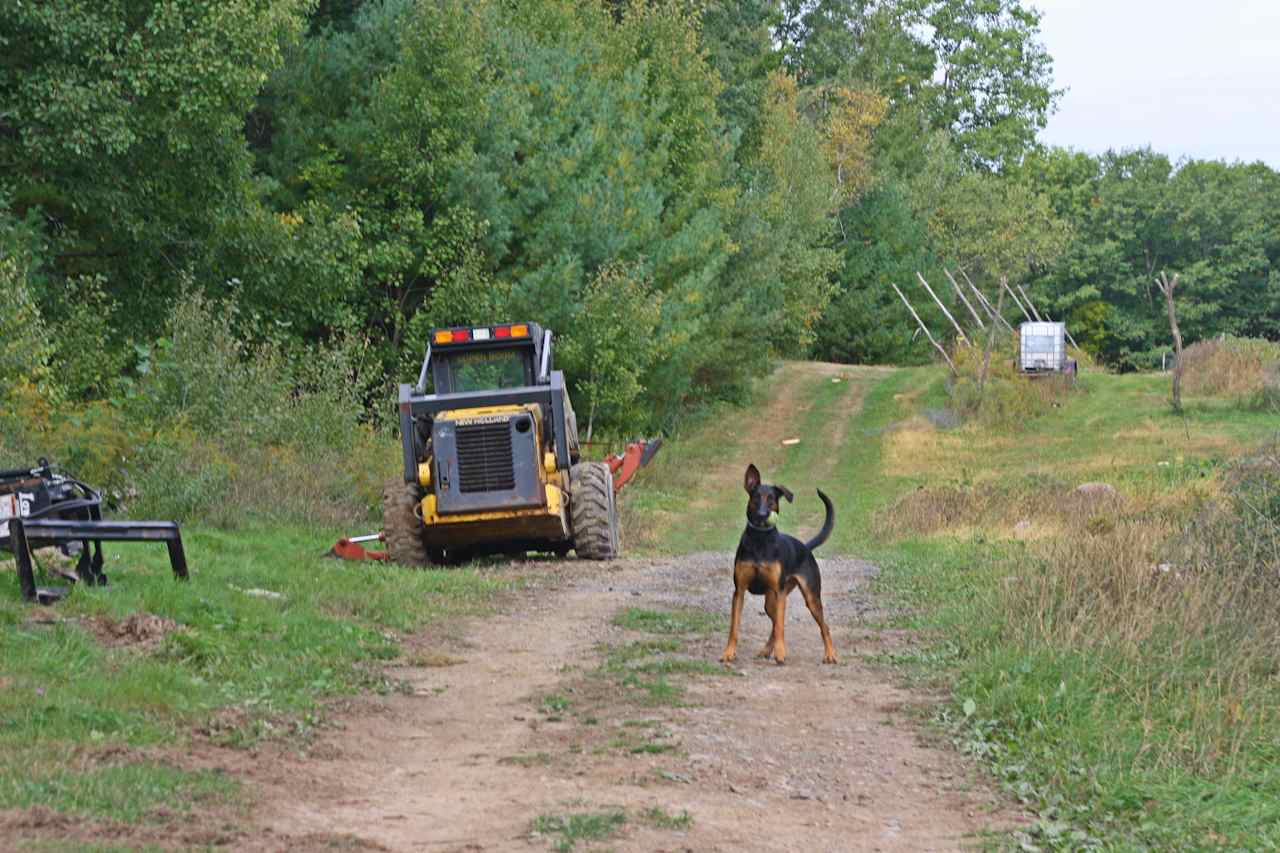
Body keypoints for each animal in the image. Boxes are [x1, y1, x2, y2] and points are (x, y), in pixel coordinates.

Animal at [721, 458, 839, 666]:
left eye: (771, 499)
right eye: (756, 497)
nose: (762, 515)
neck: (760, 539)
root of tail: (805, 547)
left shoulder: (779, 591)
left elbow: (781, 627)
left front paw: (781, 653)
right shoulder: (739, 591)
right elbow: (734, 628)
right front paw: (729, 653)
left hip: (809, 597)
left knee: (823, 626)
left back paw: (830, 654)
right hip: (771, 601)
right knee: (774, 622)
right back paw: (767, 650)